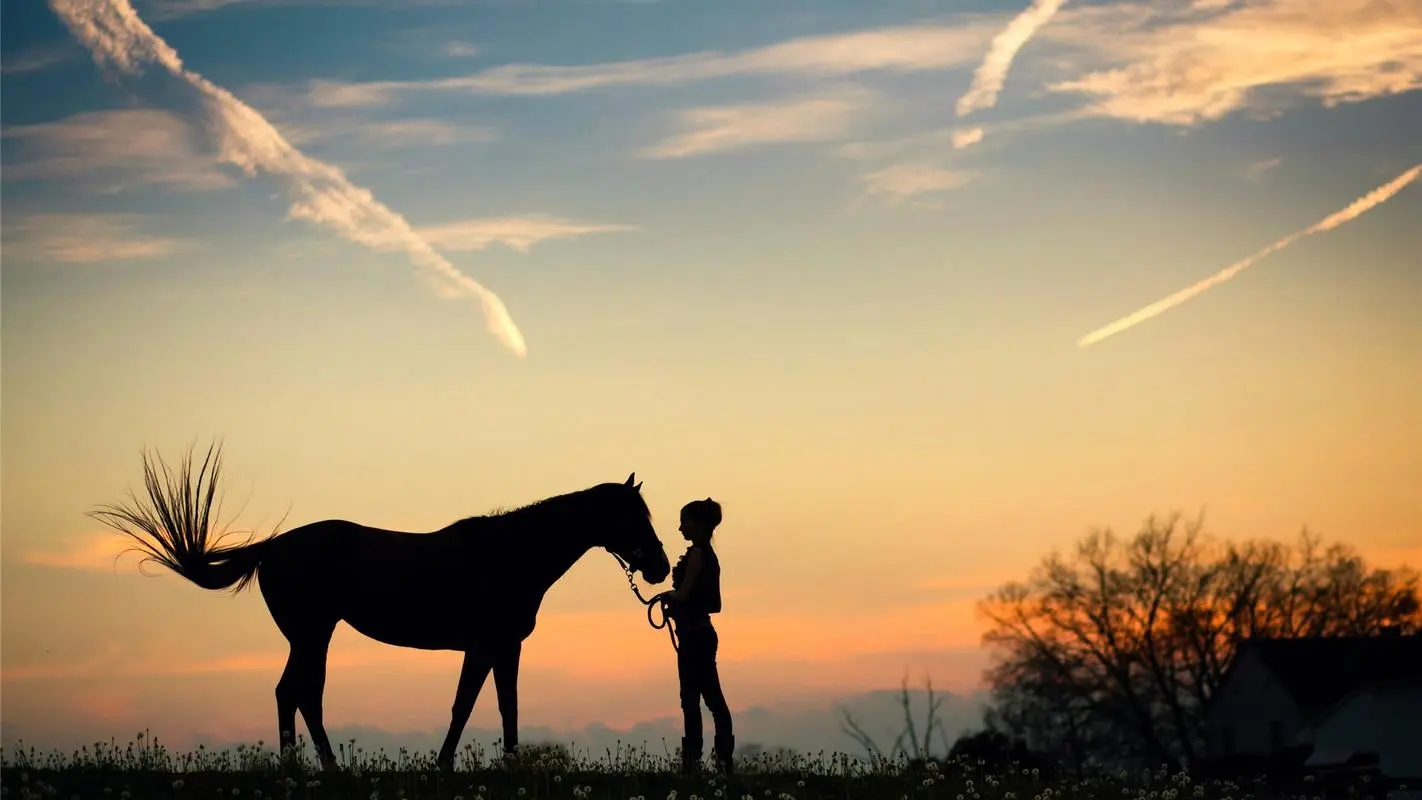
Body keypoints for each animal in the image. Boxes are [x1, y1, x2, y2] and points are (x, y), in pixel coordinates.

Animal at [91, 443, 674, 767]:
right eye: (633, 516)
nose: (660, 569)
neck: (509, 553)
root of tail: (273, 546)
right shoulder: (485, 645)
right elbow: (467, 706)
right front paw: (446, 766)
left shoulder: (503, 647)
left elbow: (501, 706)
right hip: (312, 634)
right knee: (297, 693)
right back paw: (314, 769)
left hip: (313, 636)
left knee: (298, 695)